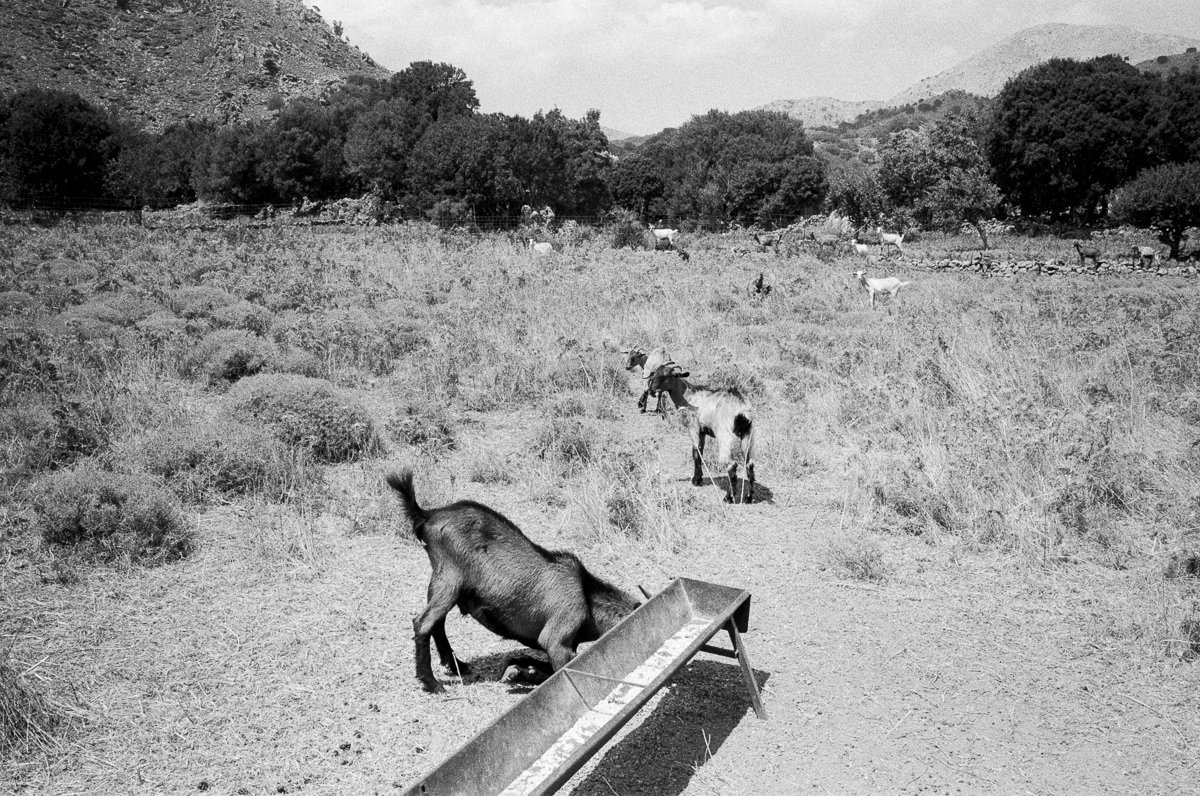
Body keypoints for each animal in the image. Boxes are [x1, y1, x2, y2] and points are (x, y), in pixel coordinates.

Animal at [388, 470, 643, 696]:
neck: (587, 596)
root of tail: (427, 515)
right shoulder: (559, 635)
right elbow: (559, 670)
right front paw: (523, 675)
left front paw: (520, 670)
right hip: (450, 576)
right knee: (423, 622)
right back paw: (432, 684)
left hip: (442, 579)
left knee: (437, 622)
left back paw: (457, 665)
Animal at [643, 362, 753, 501]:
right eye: (655, 373)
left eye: (666, 376)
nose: (651, 390)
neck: (689, 396)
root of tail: (742, 411)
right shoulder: (702, 432)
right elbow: (700, 451)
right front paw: (699, 478)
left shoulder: (693, 427)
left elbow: (695, 452)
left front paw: (695, 480)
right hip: (748, 435)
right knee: (750, 463)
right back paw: (749, 497)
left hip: (725, 435)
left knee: (731, 464)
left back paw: (728, 497)